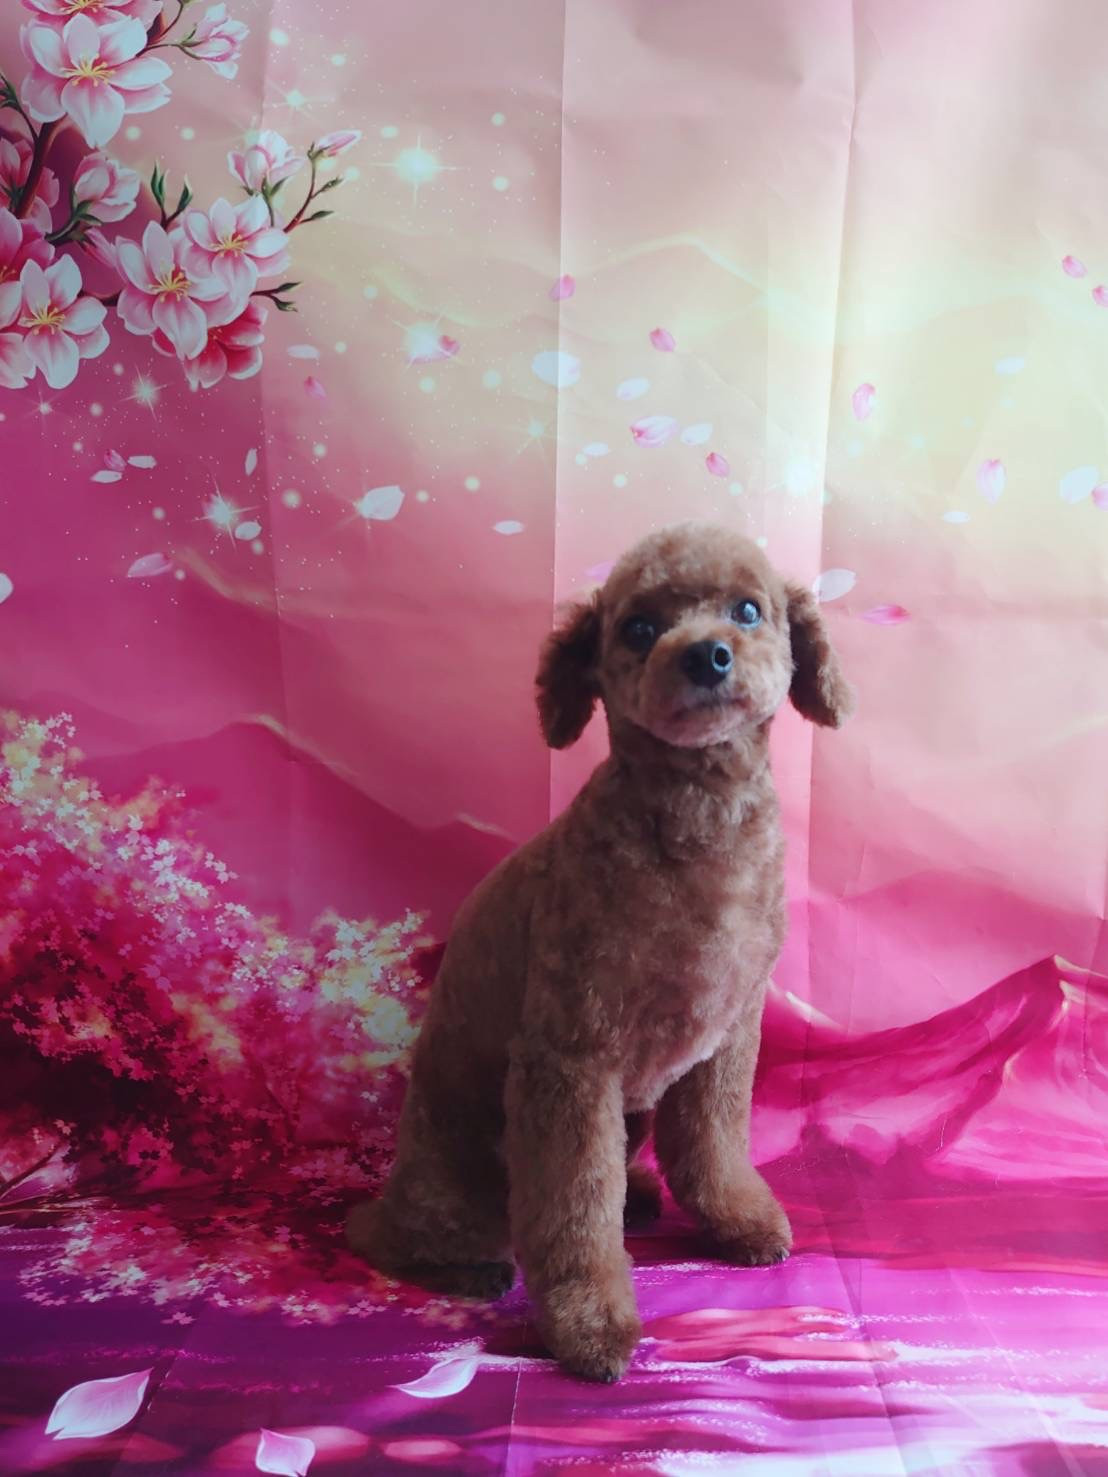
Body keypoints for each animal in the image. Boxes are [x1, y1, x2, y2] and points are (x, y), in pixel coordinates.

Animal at [347, 521, 853, 1382]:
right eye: (638, 629)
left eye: (749, 609)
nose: (705, 655)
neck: (698, 826)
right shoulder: (571, 1060)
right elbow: (574, 1211)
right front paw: (589, 1322)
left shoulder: (727, 1039)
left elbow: (714, 1144)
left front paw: (735, 1219)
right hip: (459, 1176)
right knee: (411, 1238)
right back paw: (466, 1265)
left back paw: (642, 1193)